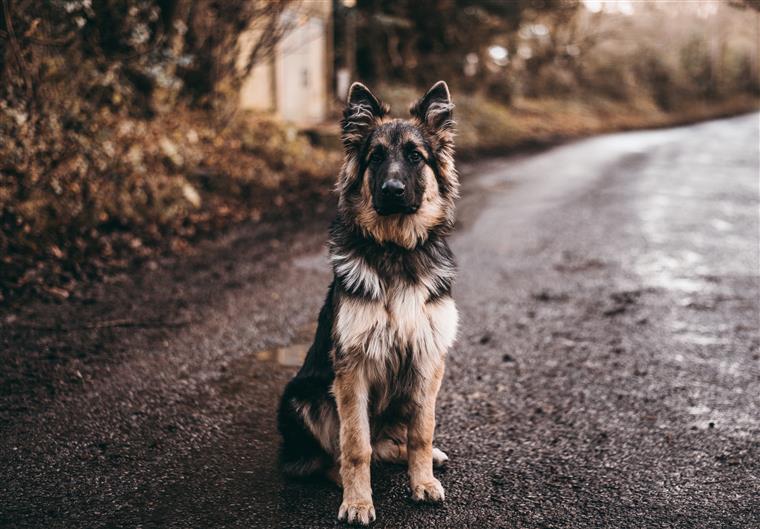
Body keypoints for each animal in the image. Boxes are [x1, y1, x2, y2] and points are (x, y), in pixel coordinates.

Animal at [278, 81, 458, 524]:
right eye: (375, 157)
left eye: (415, 156)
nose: (392, 191)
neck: (395, 250)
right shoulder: (352, 370)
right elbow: (355, 445)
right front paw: (358, 501)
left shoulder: (428, 359)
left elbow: (422, 431)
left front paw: (422, 481)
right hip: (301, 397)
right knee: (330, 457)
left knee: (392, 443)